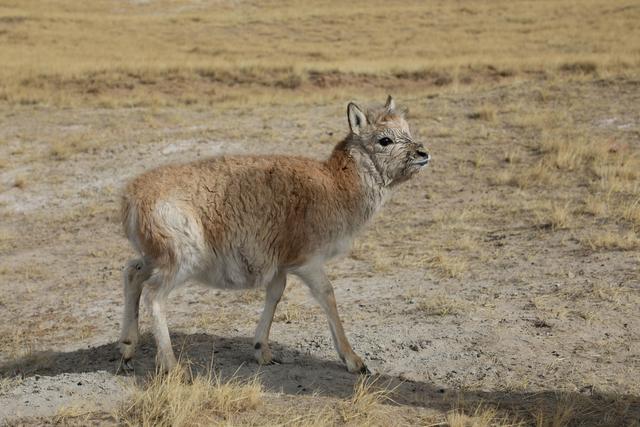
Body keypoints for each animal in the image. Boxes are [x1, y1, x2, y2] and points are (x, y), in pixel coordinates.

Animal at [118, 96, 430, 374]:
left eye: (408, 130)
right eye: (384, 140)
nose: (423, 154)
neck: (334, 183)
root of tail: (132, 196)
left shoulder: (280, 266)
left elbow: (275, 295)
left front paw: (262, 351)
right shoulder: (308, 262)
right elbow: (327, 295)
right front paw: (354, 360)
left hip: (156, 257)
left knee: (132, 272)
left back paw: (128, 348)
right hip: (181, 262)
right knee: (154, 295)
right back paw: (170, 365)